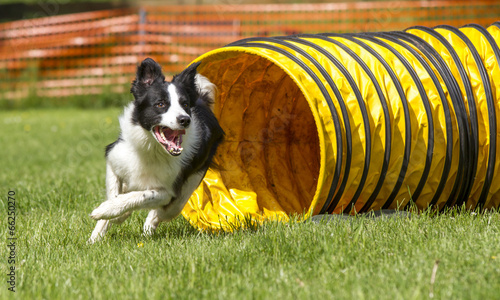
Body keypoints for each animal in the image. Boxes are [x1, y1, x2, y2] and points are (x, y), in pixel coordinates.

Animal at [89, 58, 224, 244]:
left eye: (185, 104)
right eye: (160, 104)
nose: (185, 119)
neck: (151, 148)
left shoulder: (169, 191)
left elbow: (142, 196)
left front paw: (111, 212)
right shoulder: (115, 160)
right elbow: (114, 194)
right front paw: (107, 217)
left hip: (184, 194)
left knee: (160, 212)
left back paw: (146, 230)